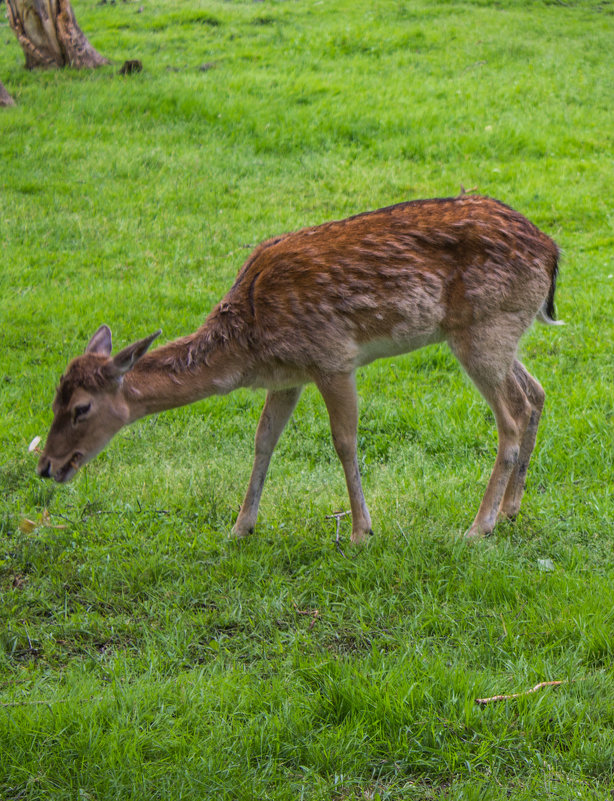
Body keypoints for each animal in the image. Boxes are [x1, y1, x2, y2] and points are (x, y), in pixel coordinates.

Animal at [37, 196, 564, 540]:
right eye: (54, 398)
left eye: (81, 408)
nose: (46, 465)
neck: (250, 345)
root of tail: (553, 252)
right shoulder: (288, 377)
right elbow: (264, 439)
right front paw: (240, 527)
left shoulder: (332, 358)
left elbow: (344, 441)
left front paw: (361, 532)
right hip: (500, 331)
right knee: (536, 391)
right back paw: (511, 509)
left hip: (483, 330)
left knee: (511, 415)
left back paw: (478, 526)